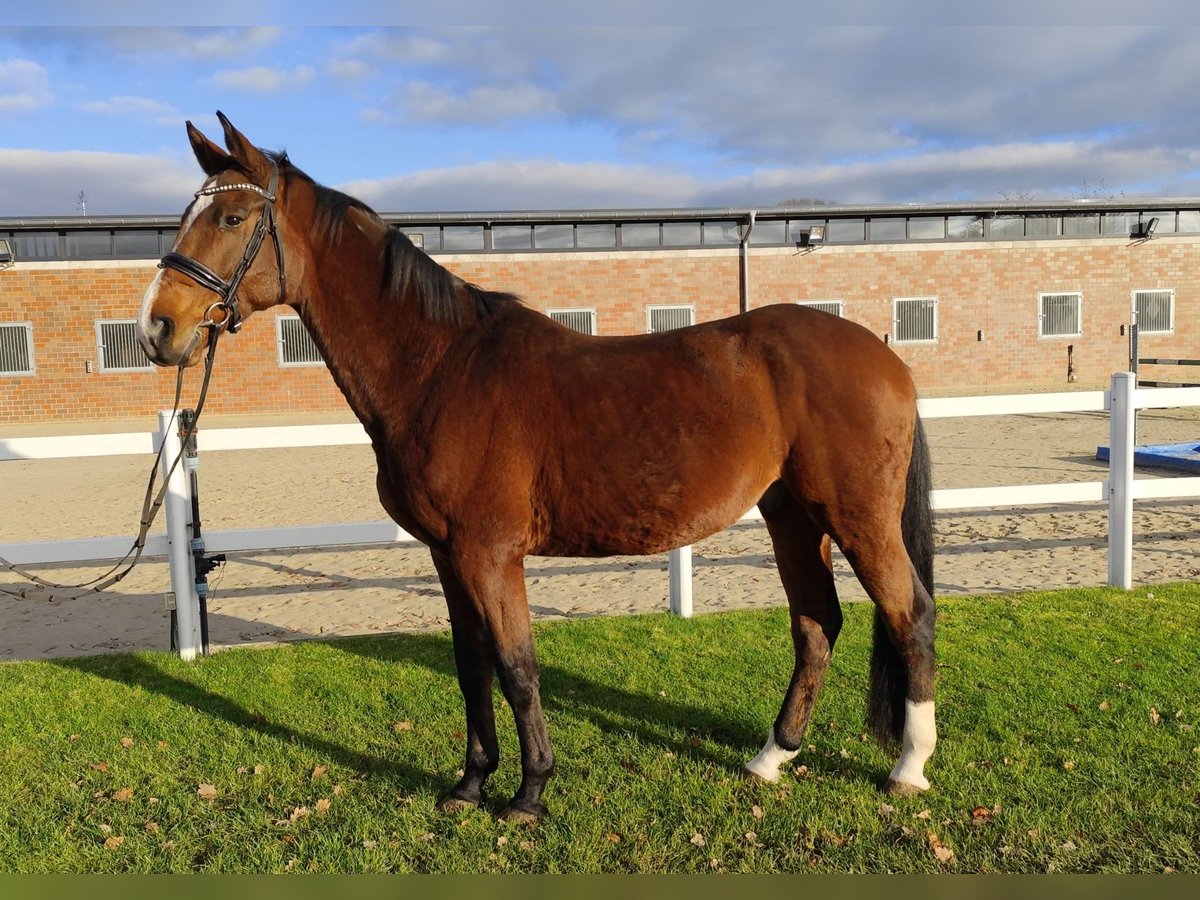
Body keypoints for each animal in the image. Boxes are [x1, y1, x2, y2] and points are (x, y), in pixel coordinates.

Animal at [133, 114, 936, 830]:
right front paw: (470, 784)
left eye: (233, 216)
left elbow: (518, 667)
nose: (157, 328)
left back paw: (909, 767)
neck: (442, 368)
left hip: (857, 518)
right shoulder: (449, 555)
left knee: (910, 613)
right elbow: (472, 665)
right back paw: (772, 757)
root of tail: (885, 356)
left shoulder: (491, 554)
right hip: (792, 515)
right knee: (817, 623)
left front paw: (529, 794)